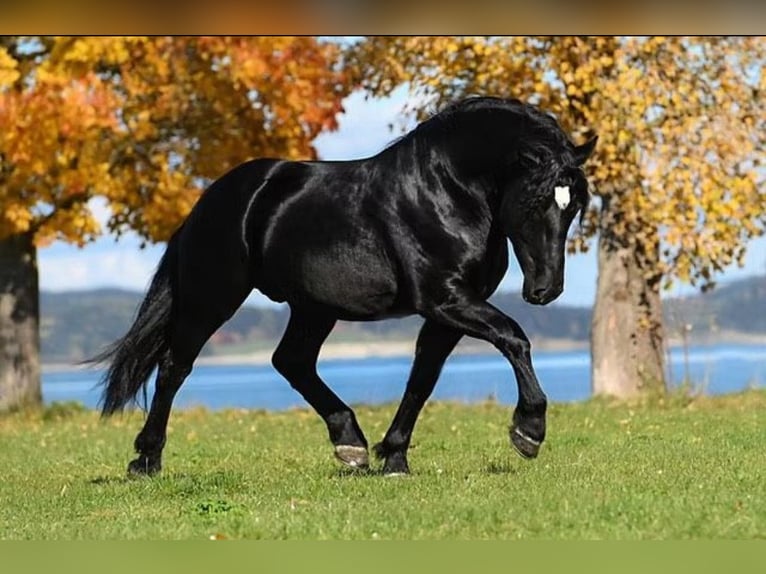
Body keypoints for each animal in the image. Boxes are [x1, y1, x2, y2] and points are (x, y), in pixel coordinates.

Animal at [94, 96, 597, 477]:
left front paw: (393, 458)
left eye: (574, 206)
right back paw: (145, 460)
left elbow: (422, 379)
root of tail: (210, 200)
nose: (546, 290)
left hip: (314, 308)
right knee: (175, 366)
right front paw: (528, 431)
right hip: (213, 297)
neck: (446, 192)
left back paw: (350, 444)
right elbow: (514, 337)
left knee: (291, 361)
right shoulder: (445, 299)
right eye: (534, 202)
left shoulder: (448, 311)